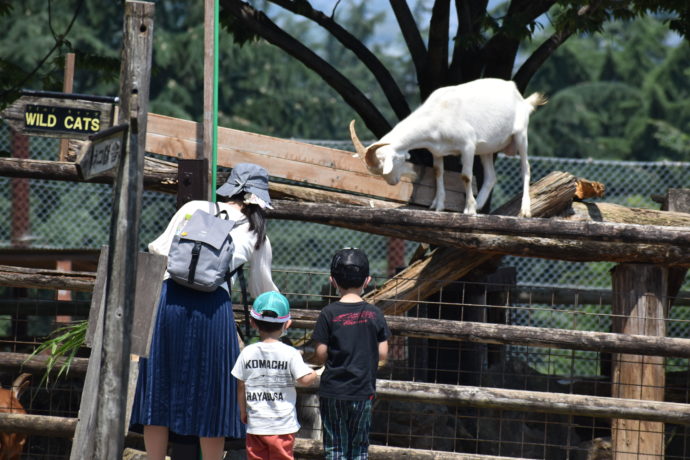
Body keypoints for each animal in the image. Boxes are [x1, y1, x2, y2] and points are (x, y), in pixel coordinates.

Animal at [350, 78, 544, 217]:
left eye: (392, 161)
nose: (392, 182)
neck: (438, 113)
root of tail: (522, 98)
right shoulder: (437, 151)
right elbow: (438, 172)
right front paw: (438, 206)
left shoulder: (468, 145)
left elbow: (466, 176)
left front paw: (469, 210)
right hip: (487, 149)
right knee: (491, 176)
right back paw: (479, 204)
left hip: (521, 134)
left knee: (526, 168)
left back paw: (525, 211)